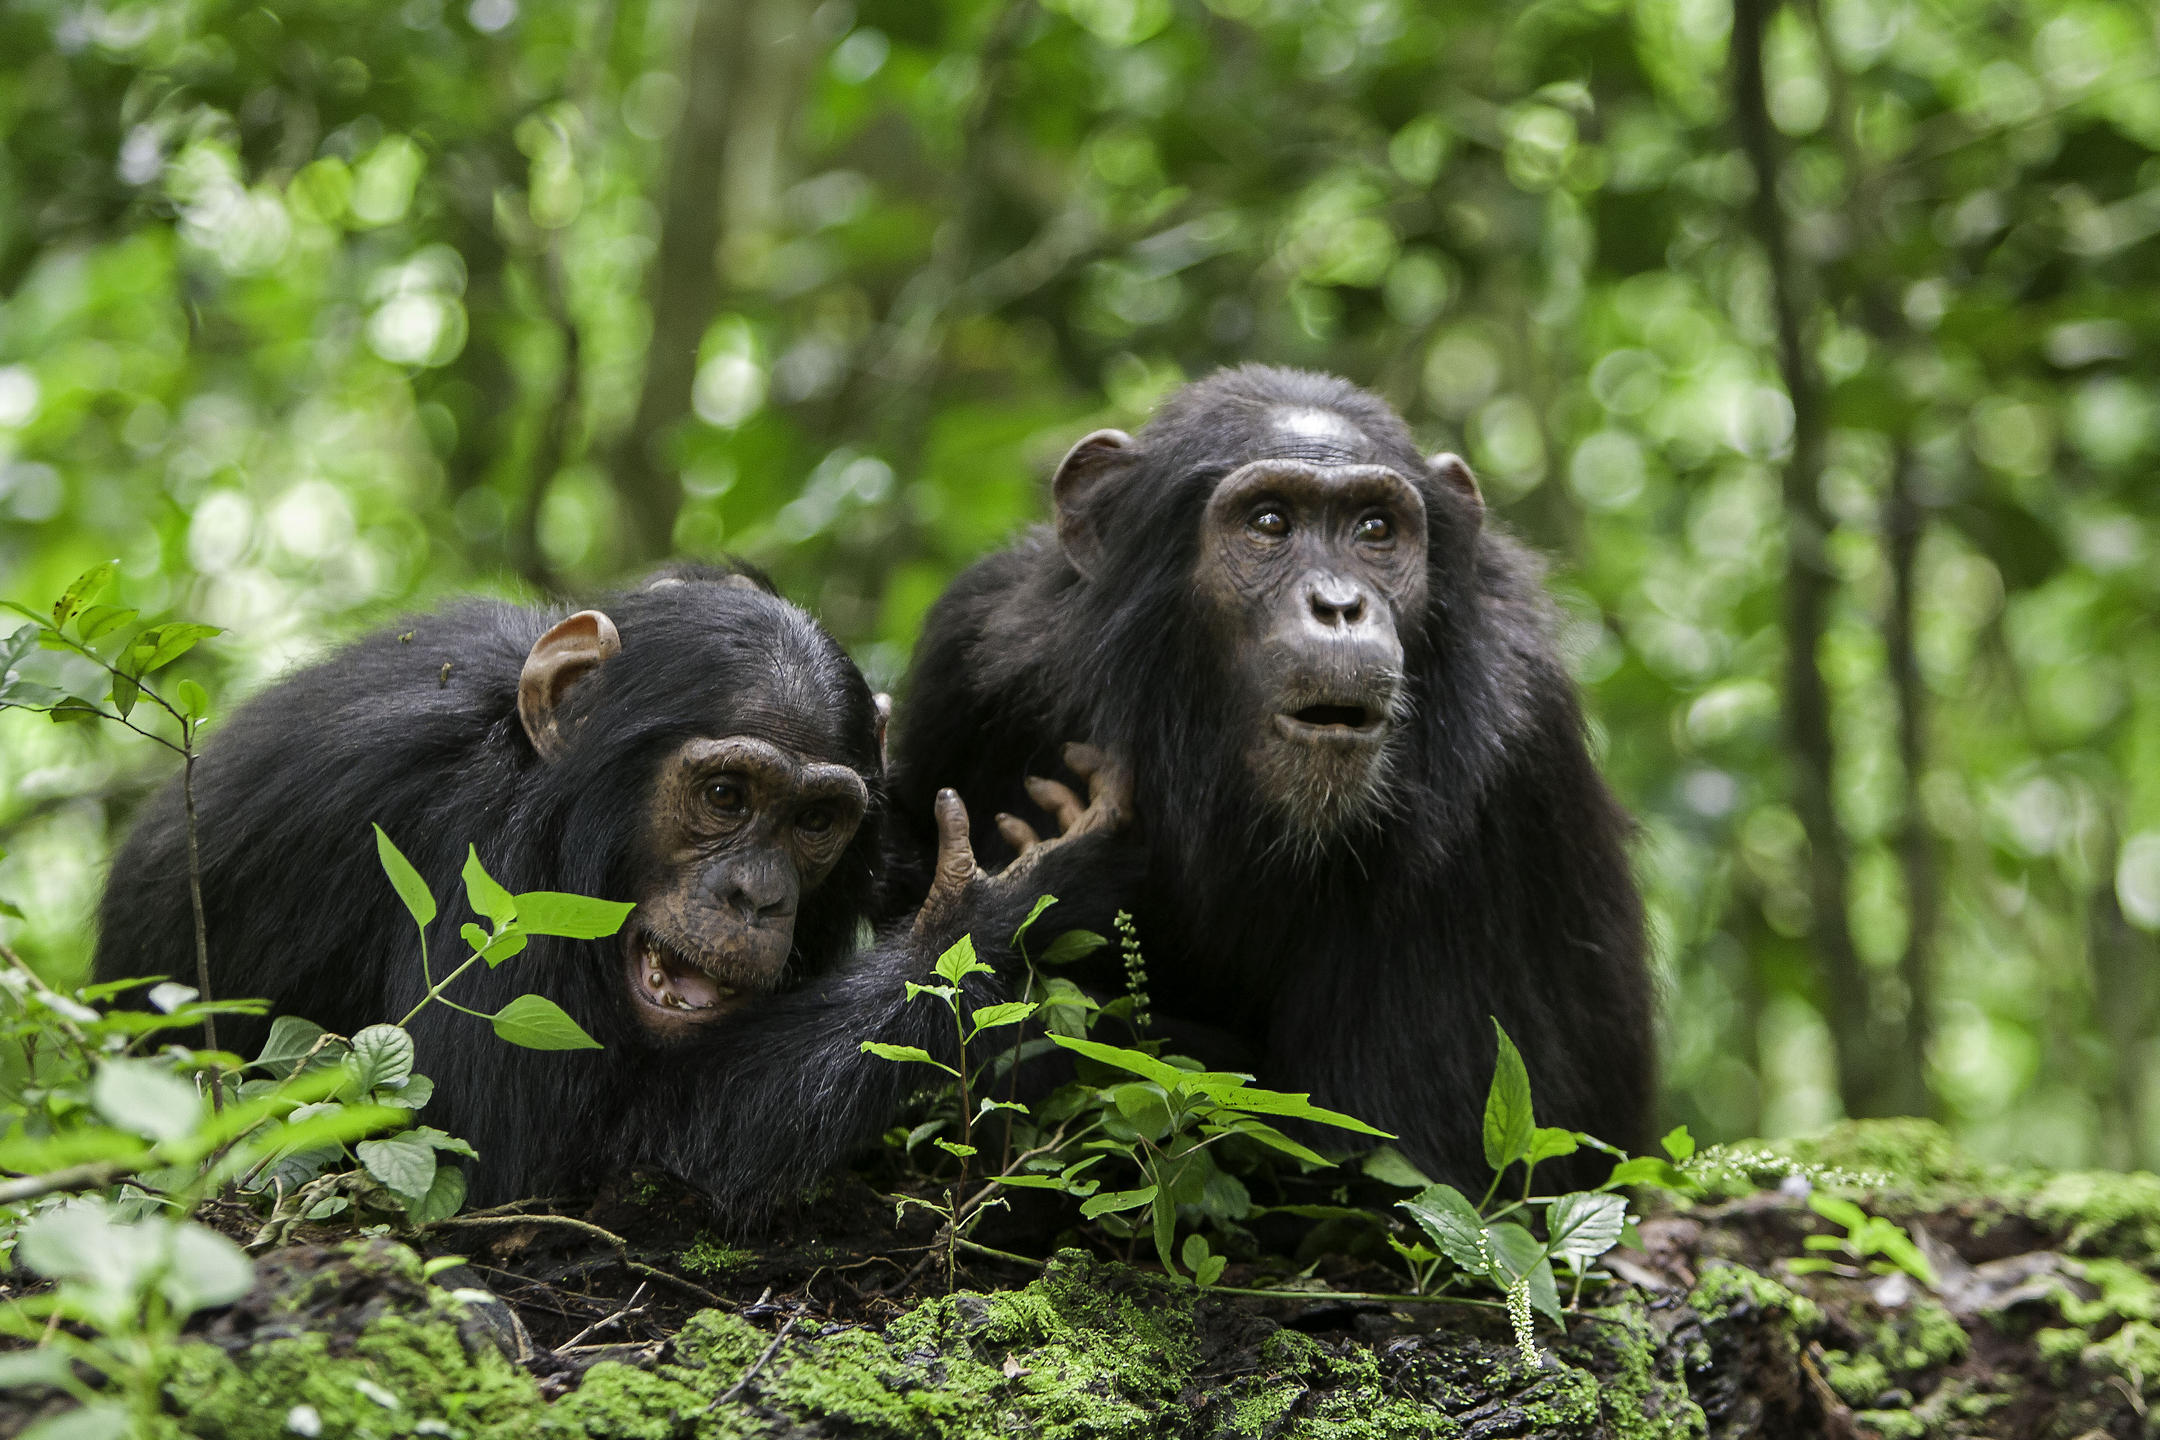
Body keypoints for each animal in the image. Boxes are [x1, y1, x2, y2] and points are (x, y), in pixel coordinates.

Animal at [97, 569, 1131, 1208]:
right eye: (725, 795)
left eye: (814, 822)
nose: (756, 895)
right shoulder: (489, 866)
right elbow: (500, 1150)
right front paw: (988, 907)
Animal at [885, 367, 1658, 1191]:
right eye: (1269, 522)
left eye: (1375, 530)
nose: (1340, 605)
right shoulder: (973, 644)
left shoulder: (1514, 756)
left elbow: (1374, 1147)